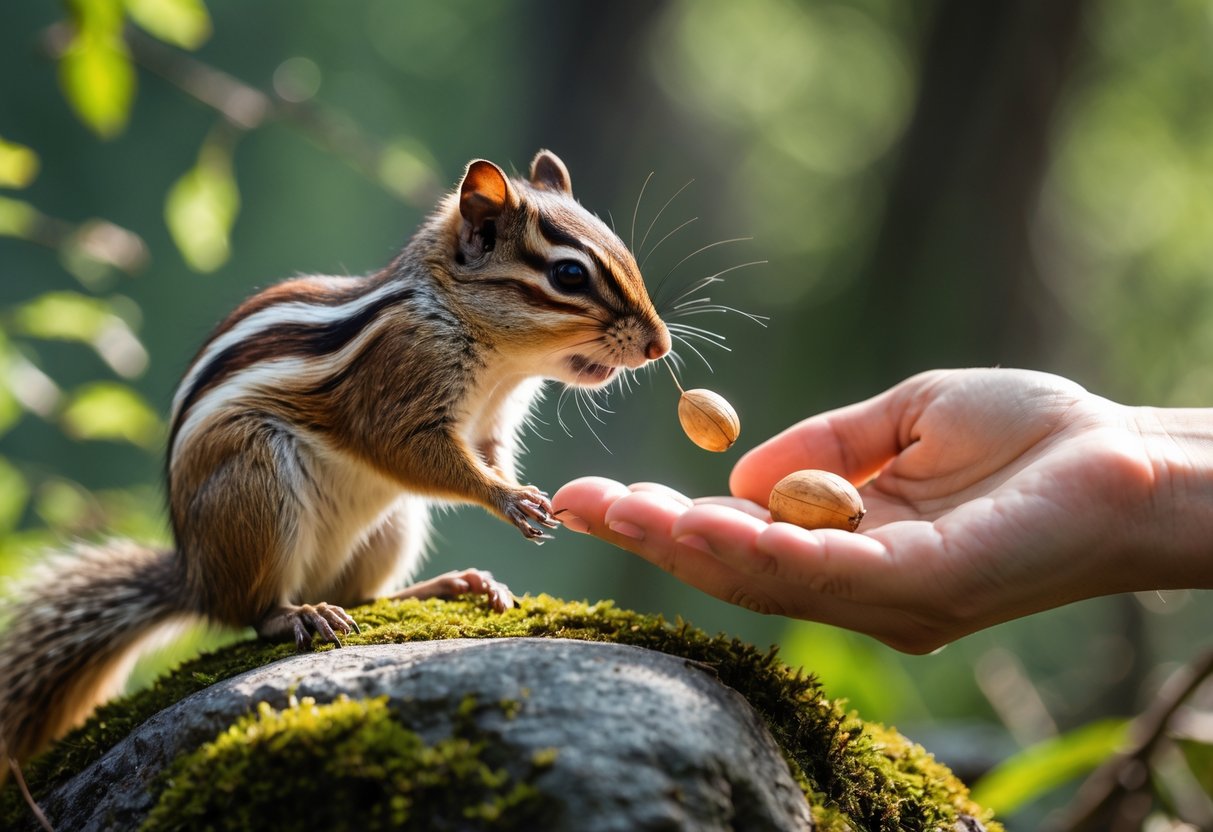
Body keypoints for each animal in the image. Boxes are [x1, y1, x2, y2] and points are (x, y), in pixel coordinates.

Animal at [0, 149, 671, 768]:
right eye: (569, 275)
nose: (659, 345)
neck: (493, 355)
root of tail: (195, 577)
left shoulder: (489, 427)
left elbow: (488, 457)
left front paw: (522, 496)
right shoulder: (395, 391)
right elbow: (410, 451)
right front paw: (509, 499)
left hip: (394, 524)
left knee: (362, 596)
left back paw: (452, 584)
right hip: (257, 485)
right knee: (254, 610)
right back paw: (300, 615)